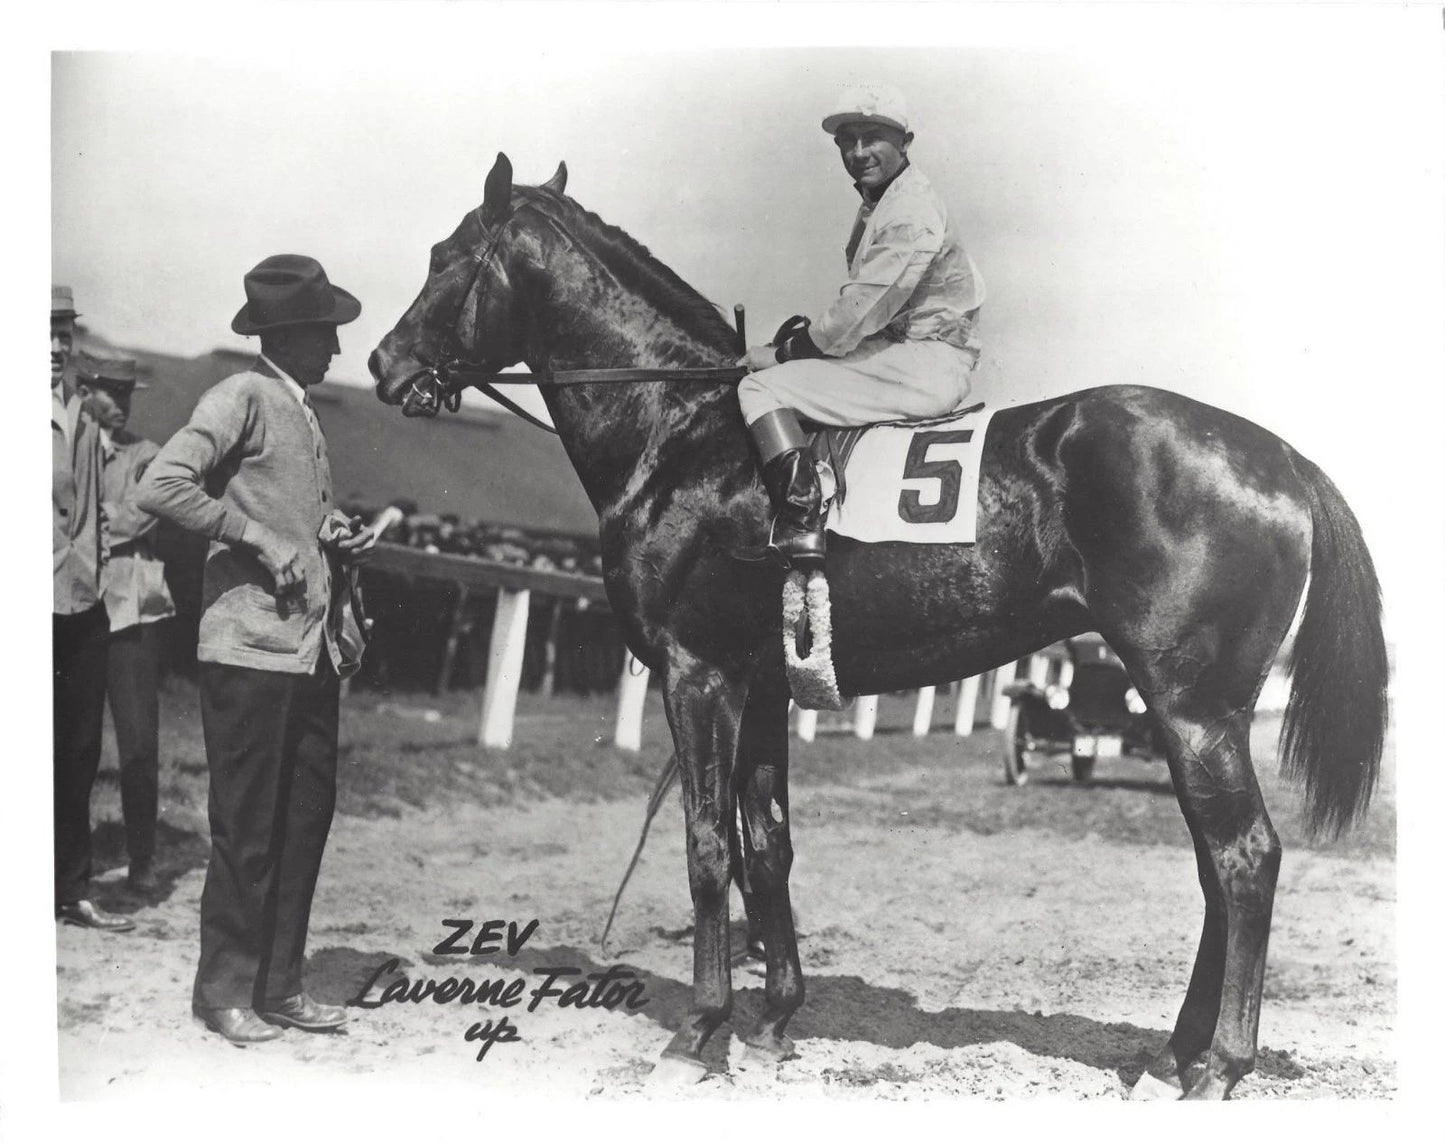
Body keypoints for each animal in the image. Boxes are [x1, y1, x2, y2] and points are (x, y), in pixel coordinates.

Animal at [368, 152, 1388, 1099]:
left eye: (445, 258)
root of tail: (1277, 454)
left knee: (1244, 858)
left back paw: (1219, 1066)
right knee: (1216, 865)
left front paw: (701, 1030)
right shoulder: (763, 683)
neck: (682, 433)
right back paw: (1173, 1055)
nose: (382, 364)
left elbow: (705, 848)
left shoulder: (696, 672)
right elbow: (766, 847)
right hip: (1197, 710)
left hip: (1190, 704)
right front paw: (773, 1021)